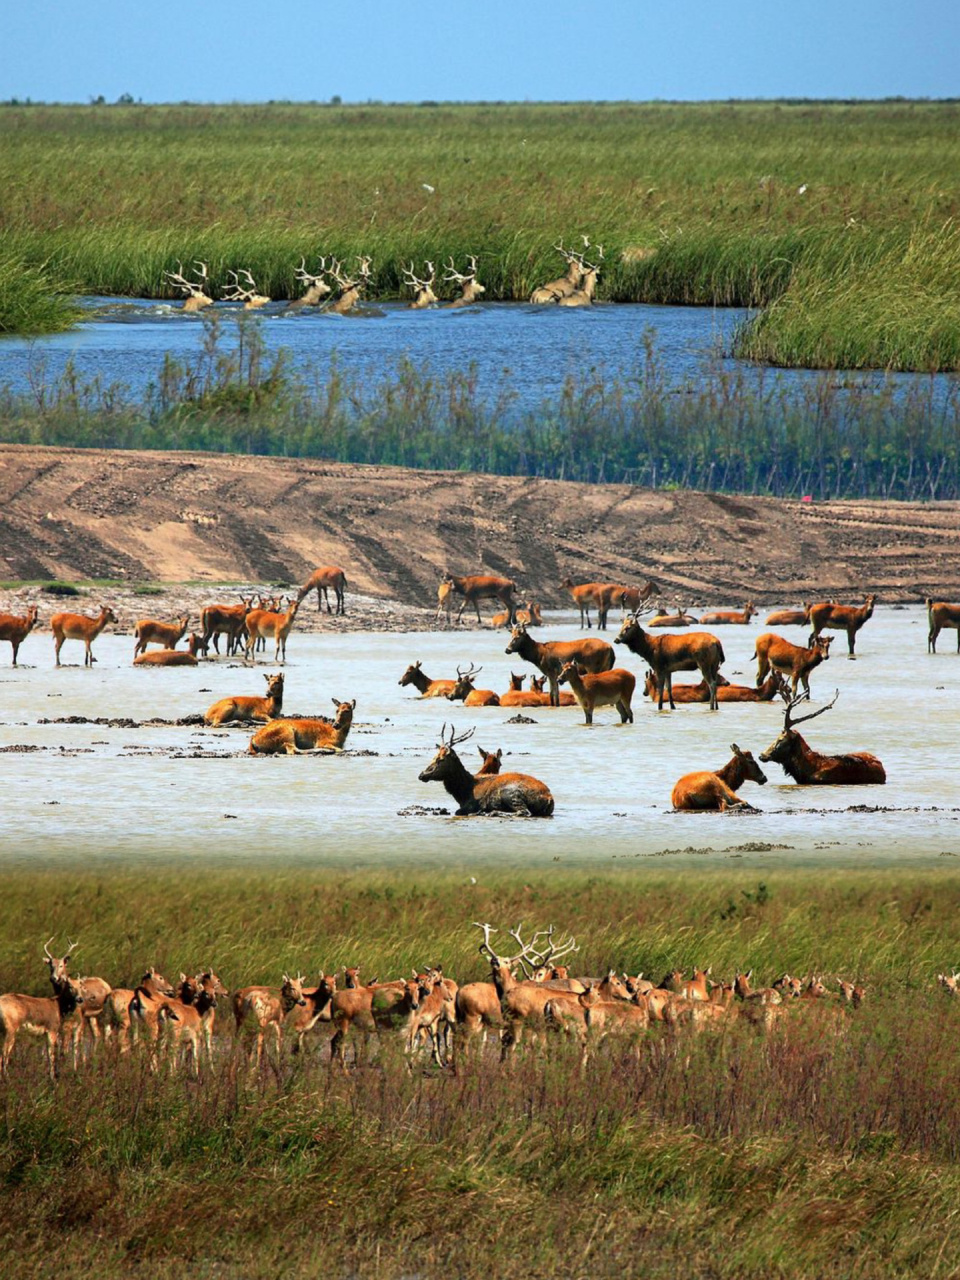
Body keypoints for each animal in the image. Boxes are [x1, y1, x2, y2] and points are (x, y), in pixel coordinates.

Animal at [419, 727, 555, 814]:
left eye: (440, 759)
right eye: (434, 756)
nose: (421, 774)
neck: (463, 791)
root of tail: (549, 799)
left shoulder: (471, 805)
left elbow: (458, 811)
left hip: (510, 793)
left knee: (523, 812)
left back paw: (492, 812)